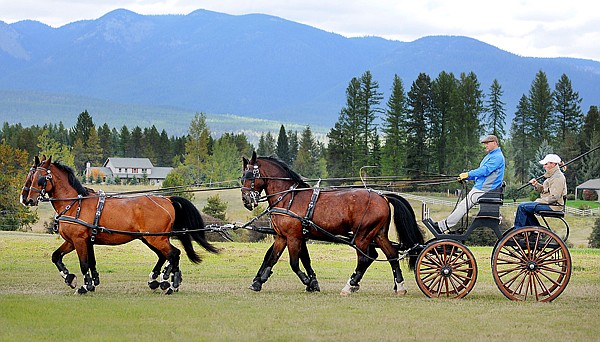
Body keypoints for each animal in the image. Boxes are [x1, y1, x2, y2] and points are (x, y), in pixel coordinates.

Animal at [25, 157, 219, 294]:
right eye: (29, 176)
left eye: (40, 178)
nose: (27, 199)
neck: (75, 203)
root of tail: (166, 199)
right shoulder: (76, 241)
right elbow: (59, 257)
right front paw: (74, 279)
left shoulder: (79, 240)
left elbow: (84, 264)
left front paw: (84, 286)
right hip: (150, 238)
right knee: (165, 256)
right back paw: (163, 280)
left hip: (156, 238)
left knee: (174, 254)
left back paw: (168, 283)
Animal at [241, 151, 424, 296]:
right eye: (242, 177)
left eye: (250, 176)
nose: (246, 200)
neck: (288, 198)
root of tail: (382, 196)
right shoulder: (282, 236)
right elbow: (272, 258)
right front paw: (258, 282)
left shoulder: (293, 236)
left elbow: (294, 263)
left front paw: (309, 282)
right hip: (378, 234)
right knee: (391, 254)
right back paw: (399, 286)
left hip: (362, 235)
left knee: (365, 258)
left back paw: (349, 286)